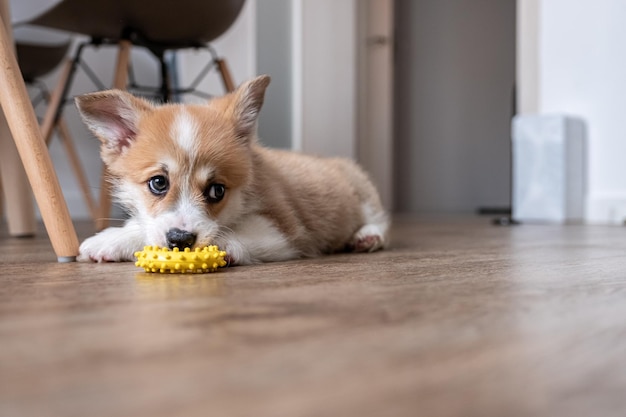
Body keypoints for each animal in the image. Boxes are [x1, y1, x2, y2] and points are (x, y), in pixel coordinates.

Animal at [75, 75, 388, 264]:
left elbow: (228, 234)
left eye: (217, 190)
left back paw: (367, 237)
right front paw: (113, 239)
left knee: (379, 217)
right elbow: (147, 227)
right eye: (158, 183)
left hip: (361, 189)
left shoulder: (284, 229)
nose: (181, 240)